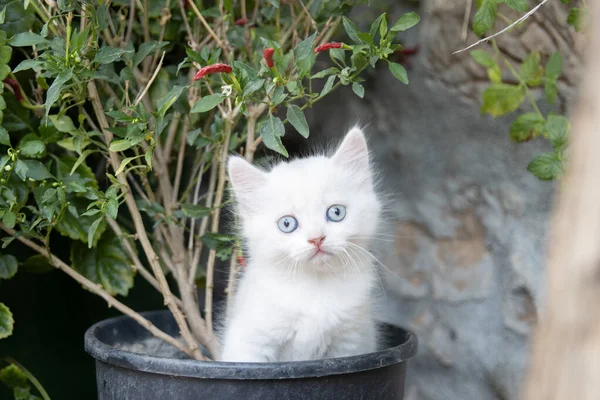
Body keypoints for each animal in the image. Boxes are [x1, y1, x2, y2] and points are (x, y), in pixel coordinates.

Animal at [219, 127, 380, 362]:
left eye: (336, 212)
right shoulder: (250, 341)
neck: (316, 287)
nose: (316, 238)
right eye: (287, 224)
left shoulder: (352, 342)